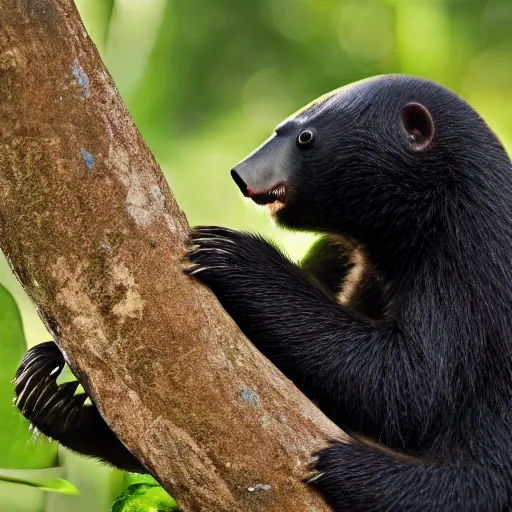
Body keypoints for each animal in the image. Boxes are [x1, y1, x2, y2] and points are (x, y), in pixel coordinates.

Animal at [13, 74, 512, 510]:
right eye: (281, 130)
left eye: (305, 138)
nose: (239, 173)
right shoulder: (343, 249)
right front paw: (49, 383)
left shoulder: (469, 252)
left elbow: (413, 381)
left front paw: (233, 253)